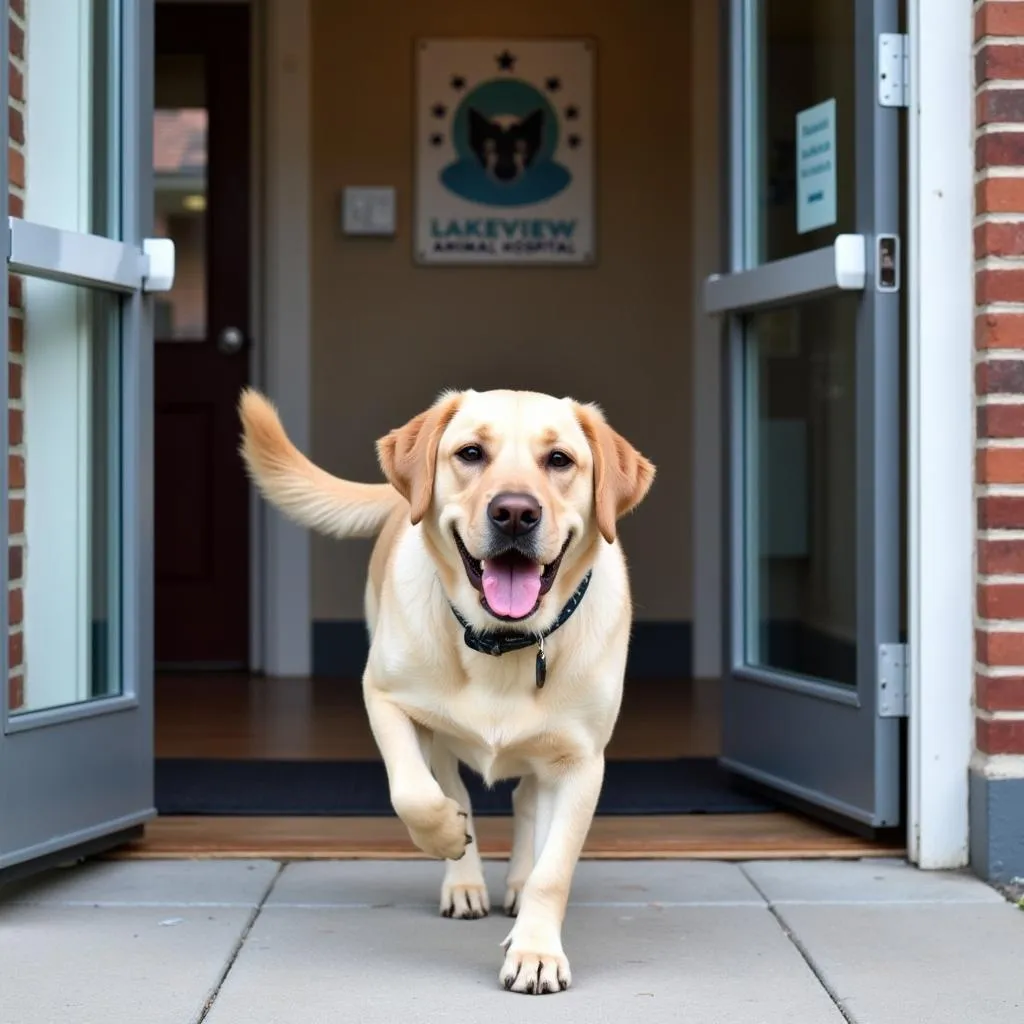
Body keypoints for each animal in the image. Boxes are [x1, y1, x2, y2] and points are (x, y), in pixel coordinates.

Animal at [238, 385, 651, 991]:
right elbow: (414, 793)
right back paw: (464, 881)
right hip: (433, 733)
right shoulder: (384, 698)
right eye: (471, 453)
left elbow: (554, 869)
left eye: (559, 460)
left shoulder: (581, 761)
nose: (514, 512)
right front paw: (448, 841)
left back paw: (516, 884)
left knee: (527, 804)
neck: (503, 642)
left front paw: (536, 951)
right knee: (451, 786)